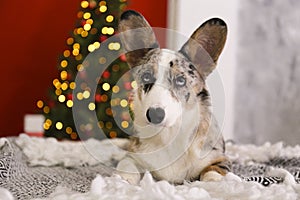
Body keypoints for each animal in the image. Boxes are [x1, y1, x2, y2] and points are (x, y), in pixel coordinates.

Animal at [116, 9, 231, 184]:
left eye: (180, 80)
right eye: (146, 77)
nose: (155, 114)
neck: (168, 135)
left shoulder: (219, 159)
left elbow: (213, 172)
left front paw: (213, 183)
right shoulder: (133, 156)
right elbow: (126, 166)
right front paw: (120, 181)